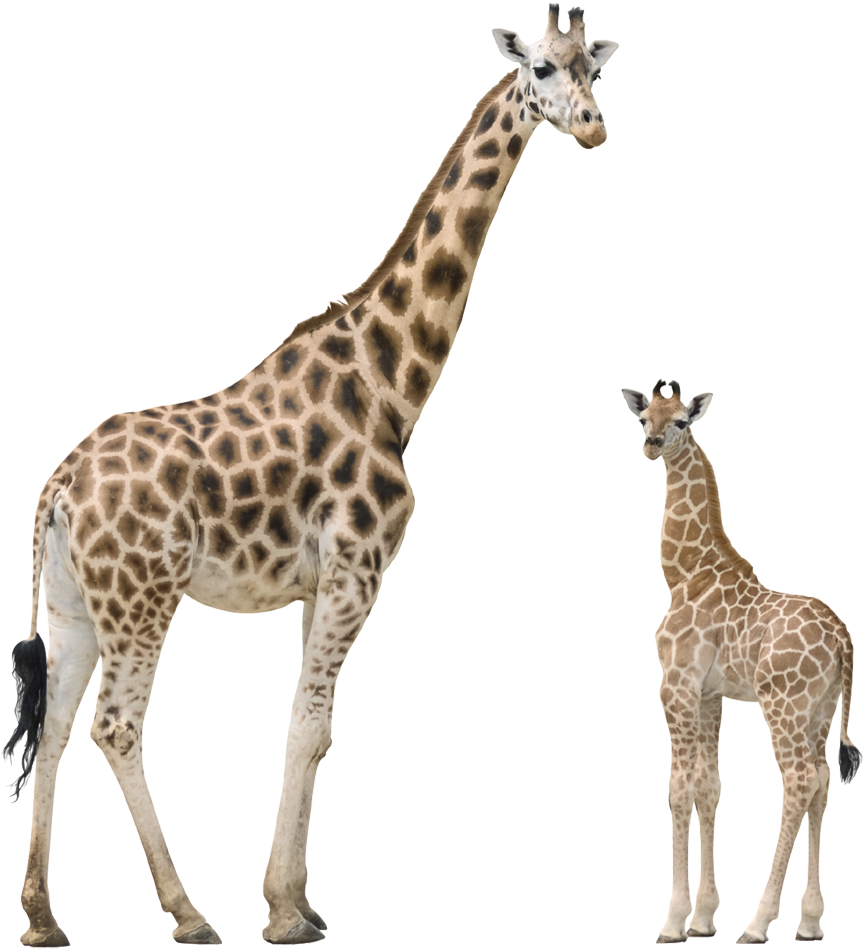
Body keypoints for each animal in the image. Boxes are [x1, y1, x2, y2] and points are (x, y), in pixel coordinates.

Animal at [3, 5, 619, 947]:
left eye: (597, 72)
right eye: (543, 69)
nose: (591, 129)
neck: (391, 379)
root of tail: (56, 491)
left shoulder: (316, 583)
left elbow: (309, 726)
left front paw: (294, 899)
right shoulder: (357, 571)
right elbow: (312, 730)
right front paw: (287, 911)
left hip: (77, 603)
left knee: (61, 721)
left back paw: (42, 917)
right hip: (144, 596)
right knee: (117, 726)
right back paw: (188, 912)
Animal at [620, 379, 860, 945]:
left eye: (681, 421)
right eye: (643, 418)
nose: (653, 445)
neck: (685, 572)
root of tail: (843, 640)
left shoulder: (675, 687)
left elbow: (678, 789)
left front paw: (673, 923)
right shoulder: (710, 694)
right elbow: (710, 788)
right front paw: (704, 917)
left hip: (783, 703)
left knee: (798, 781)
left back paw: (758, 922)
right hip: (820, 710)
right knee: (821, 782)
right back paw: (809, 922)